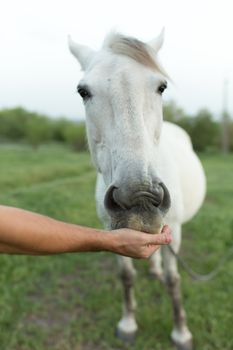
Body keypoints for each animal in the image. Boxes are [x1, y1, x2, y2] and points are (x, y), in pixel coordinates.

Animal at [68, 30, 206, 350]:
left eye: (161, 86)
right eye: (83, 91)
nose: (140, 199)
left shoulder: (174, 229)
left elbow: (173, 281)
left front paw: (181, 332)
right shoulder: (112, 229)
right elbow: (126, 275)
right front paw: (128, 324)